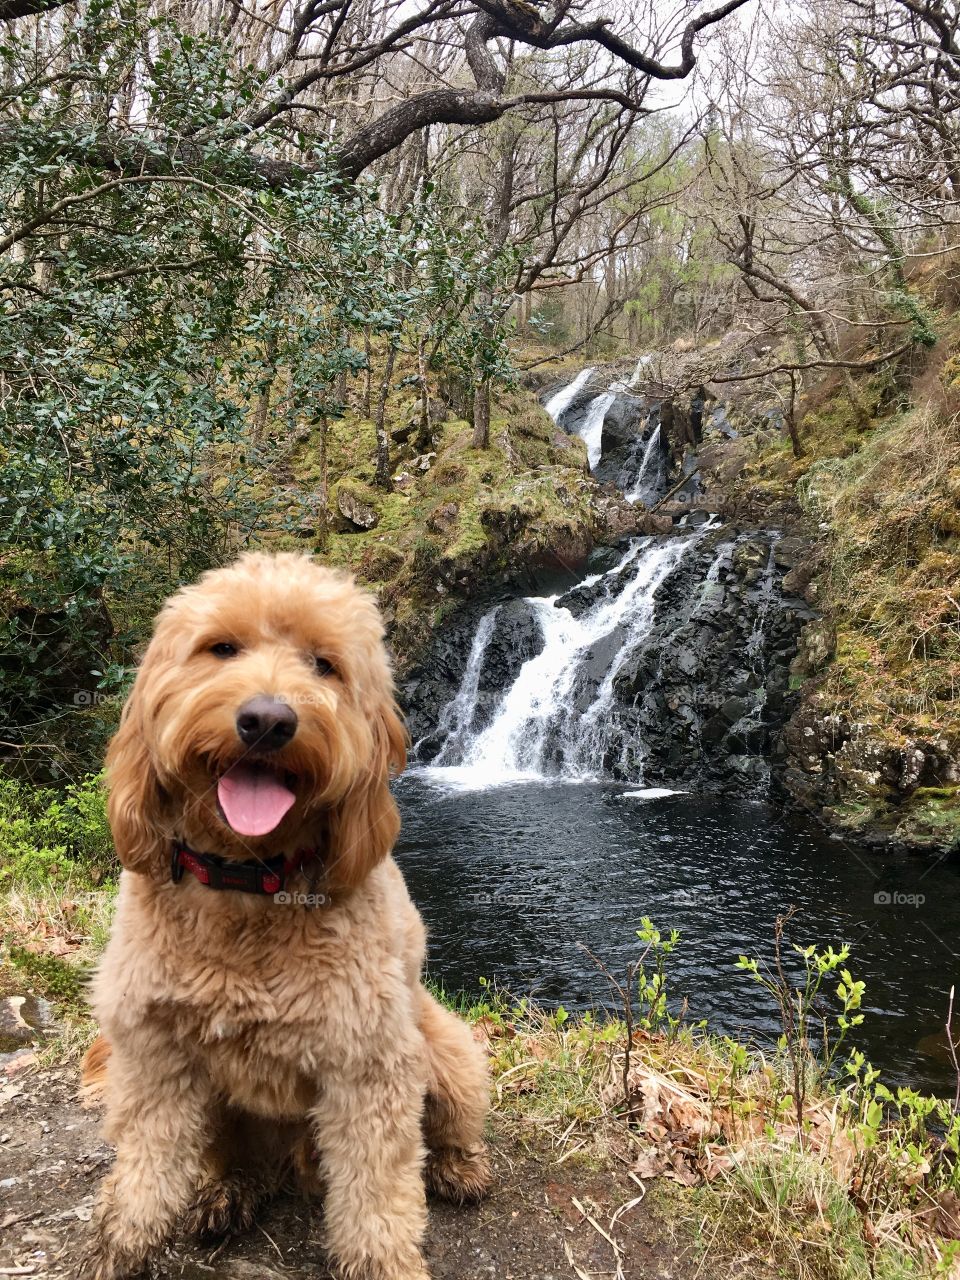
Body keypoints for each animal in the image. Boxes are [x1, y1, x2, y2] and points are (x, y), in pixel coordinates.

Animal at [79, 555, 491, 1280]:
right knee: (229, 1158)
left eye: (325, 665)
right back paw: (227, 1190)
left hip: (444, 1051)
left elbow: (375, 1192)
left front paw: (385, 1261)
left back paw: (459, 1167)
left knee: (449, 1122)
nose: (268, 721)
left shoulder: (369, 1064)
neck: (250, 879)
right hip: (221, 1111)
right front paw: (119, 1245)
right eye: (221, 648)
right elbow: (146, 1167)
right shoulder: (153, 1052)